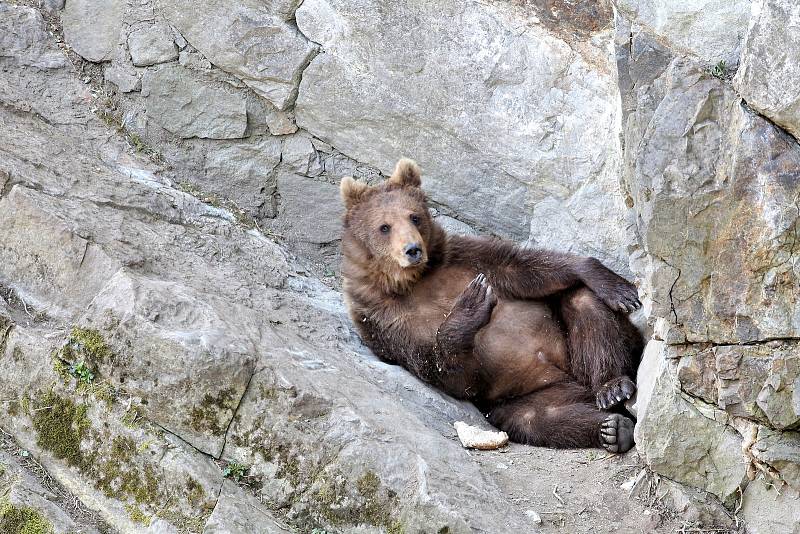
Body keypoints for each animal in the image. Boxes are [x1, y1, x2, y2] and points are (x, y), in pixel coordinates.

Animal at [340, 158, 644, 452]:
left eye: (414, 216)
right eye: (384, 227)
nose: (413, 249)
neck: (411, 283)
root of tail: (571, 380)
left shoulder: (462, 258)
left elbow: (519, 266)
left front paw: (611, 283)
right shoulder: (385, 324)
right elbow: (441, 370)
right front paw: (471, 305)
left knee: (584, 302)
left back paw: (612, 388)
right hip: (525, 394)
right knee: (539, 418)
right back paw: (612, 428)